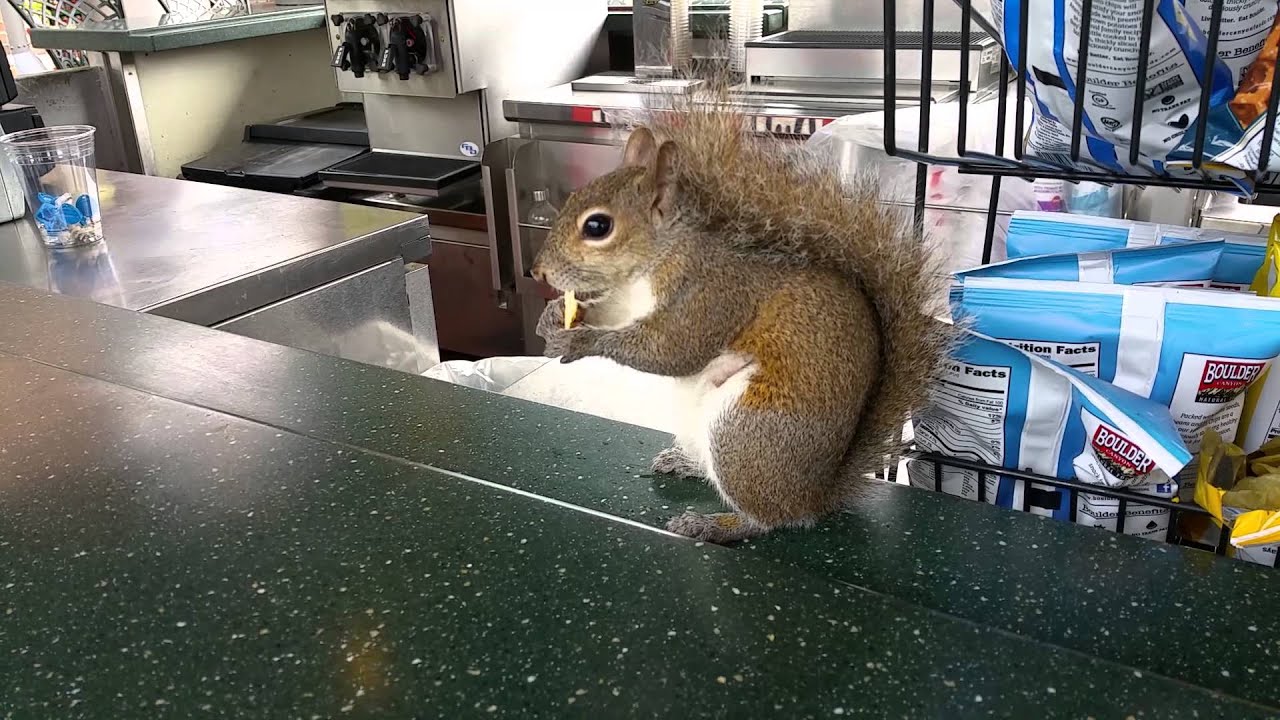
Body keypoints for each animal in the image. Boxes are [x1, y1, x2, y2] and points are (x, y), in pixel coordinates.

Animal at [530, 92, 953, 544]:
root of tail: (817, 492)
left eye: (597, 225)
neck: (653, 262)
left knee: (773, 517)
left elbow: (672, 350)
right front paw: (553, 317)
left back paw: (715, 524)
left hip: (743, 432)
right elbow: (612, 313)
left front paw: (581, 340)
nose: (537, 272)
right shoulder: (628, 300)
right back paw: (685, 463)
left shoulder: (713, 294)